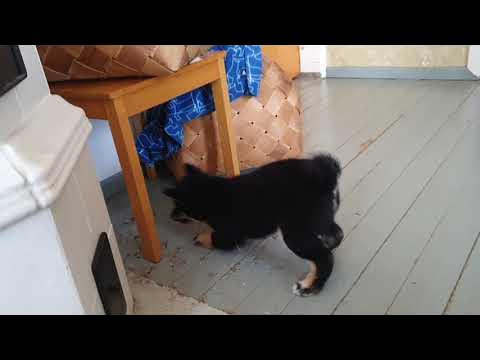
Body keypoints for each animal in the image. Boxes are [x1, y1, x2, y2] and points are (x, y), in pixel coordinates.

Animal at [163, 153, 344, 296]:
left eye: (178, 205)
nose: (170, 215)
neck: (213, 194)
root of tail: (325, 177)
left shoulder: (231, 234)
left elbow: (215, 239)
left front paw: (202, 238)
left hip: (296, 233)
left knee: (325, 258)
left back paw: (309, 286)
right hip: (318, 220)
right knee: (337, 235)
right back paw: (328, 246)